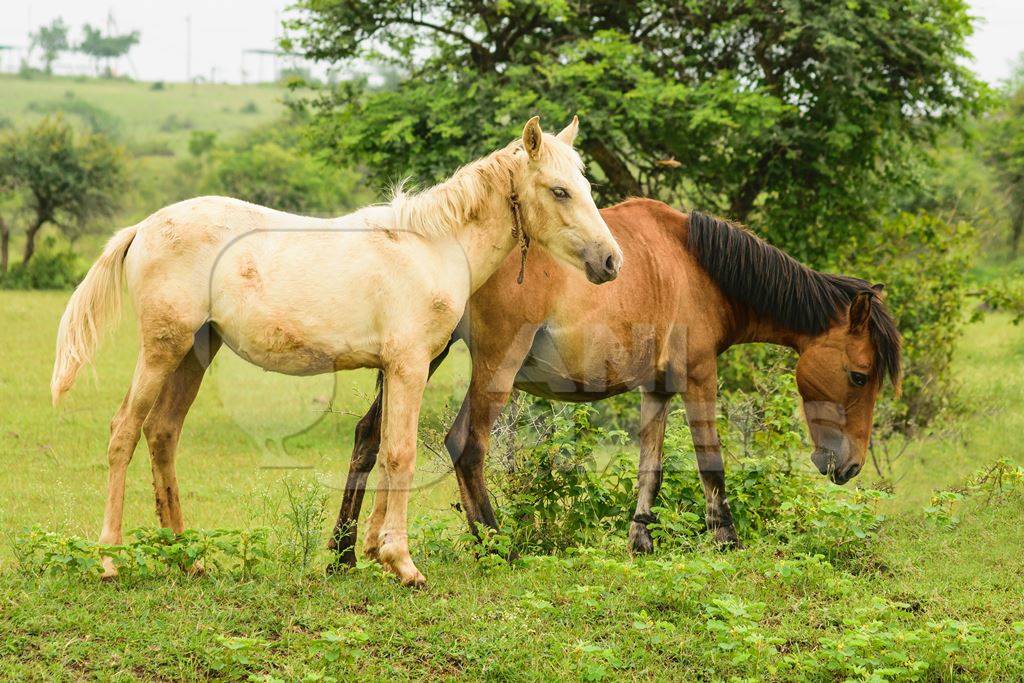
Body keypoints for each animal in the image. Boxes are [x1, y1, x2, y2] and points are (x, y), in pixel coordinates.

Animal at [54, 117, 622, 589]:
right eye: (559, 191)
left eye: (586, 187)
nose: (610, 261)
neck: (430, 246)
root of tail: (142, 228)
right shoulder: (410, 364)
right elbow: (401, 453)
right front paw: (403, 564)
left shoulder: (399, 368)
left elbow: (384, 450)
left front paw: (373, 553)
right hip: (162, 349)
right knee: (124, 431)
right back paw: (109, 561)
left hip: (195, 352)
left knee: (162, 433)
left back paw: (186, 559)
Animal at [327, 196, 897, 561]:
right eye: (859, 375)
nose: (849, 466)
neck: (694, 263)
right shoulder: (699, 376)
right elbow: (711, 463)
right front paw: (726, 539)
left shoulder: (658, 388)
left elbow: (651, 468)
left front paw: (640, 541)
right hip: (493, 366)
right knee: (465, 445)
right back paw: (495, 545)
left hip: (421, 357)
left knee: (370, 437)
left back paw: (343, 552)